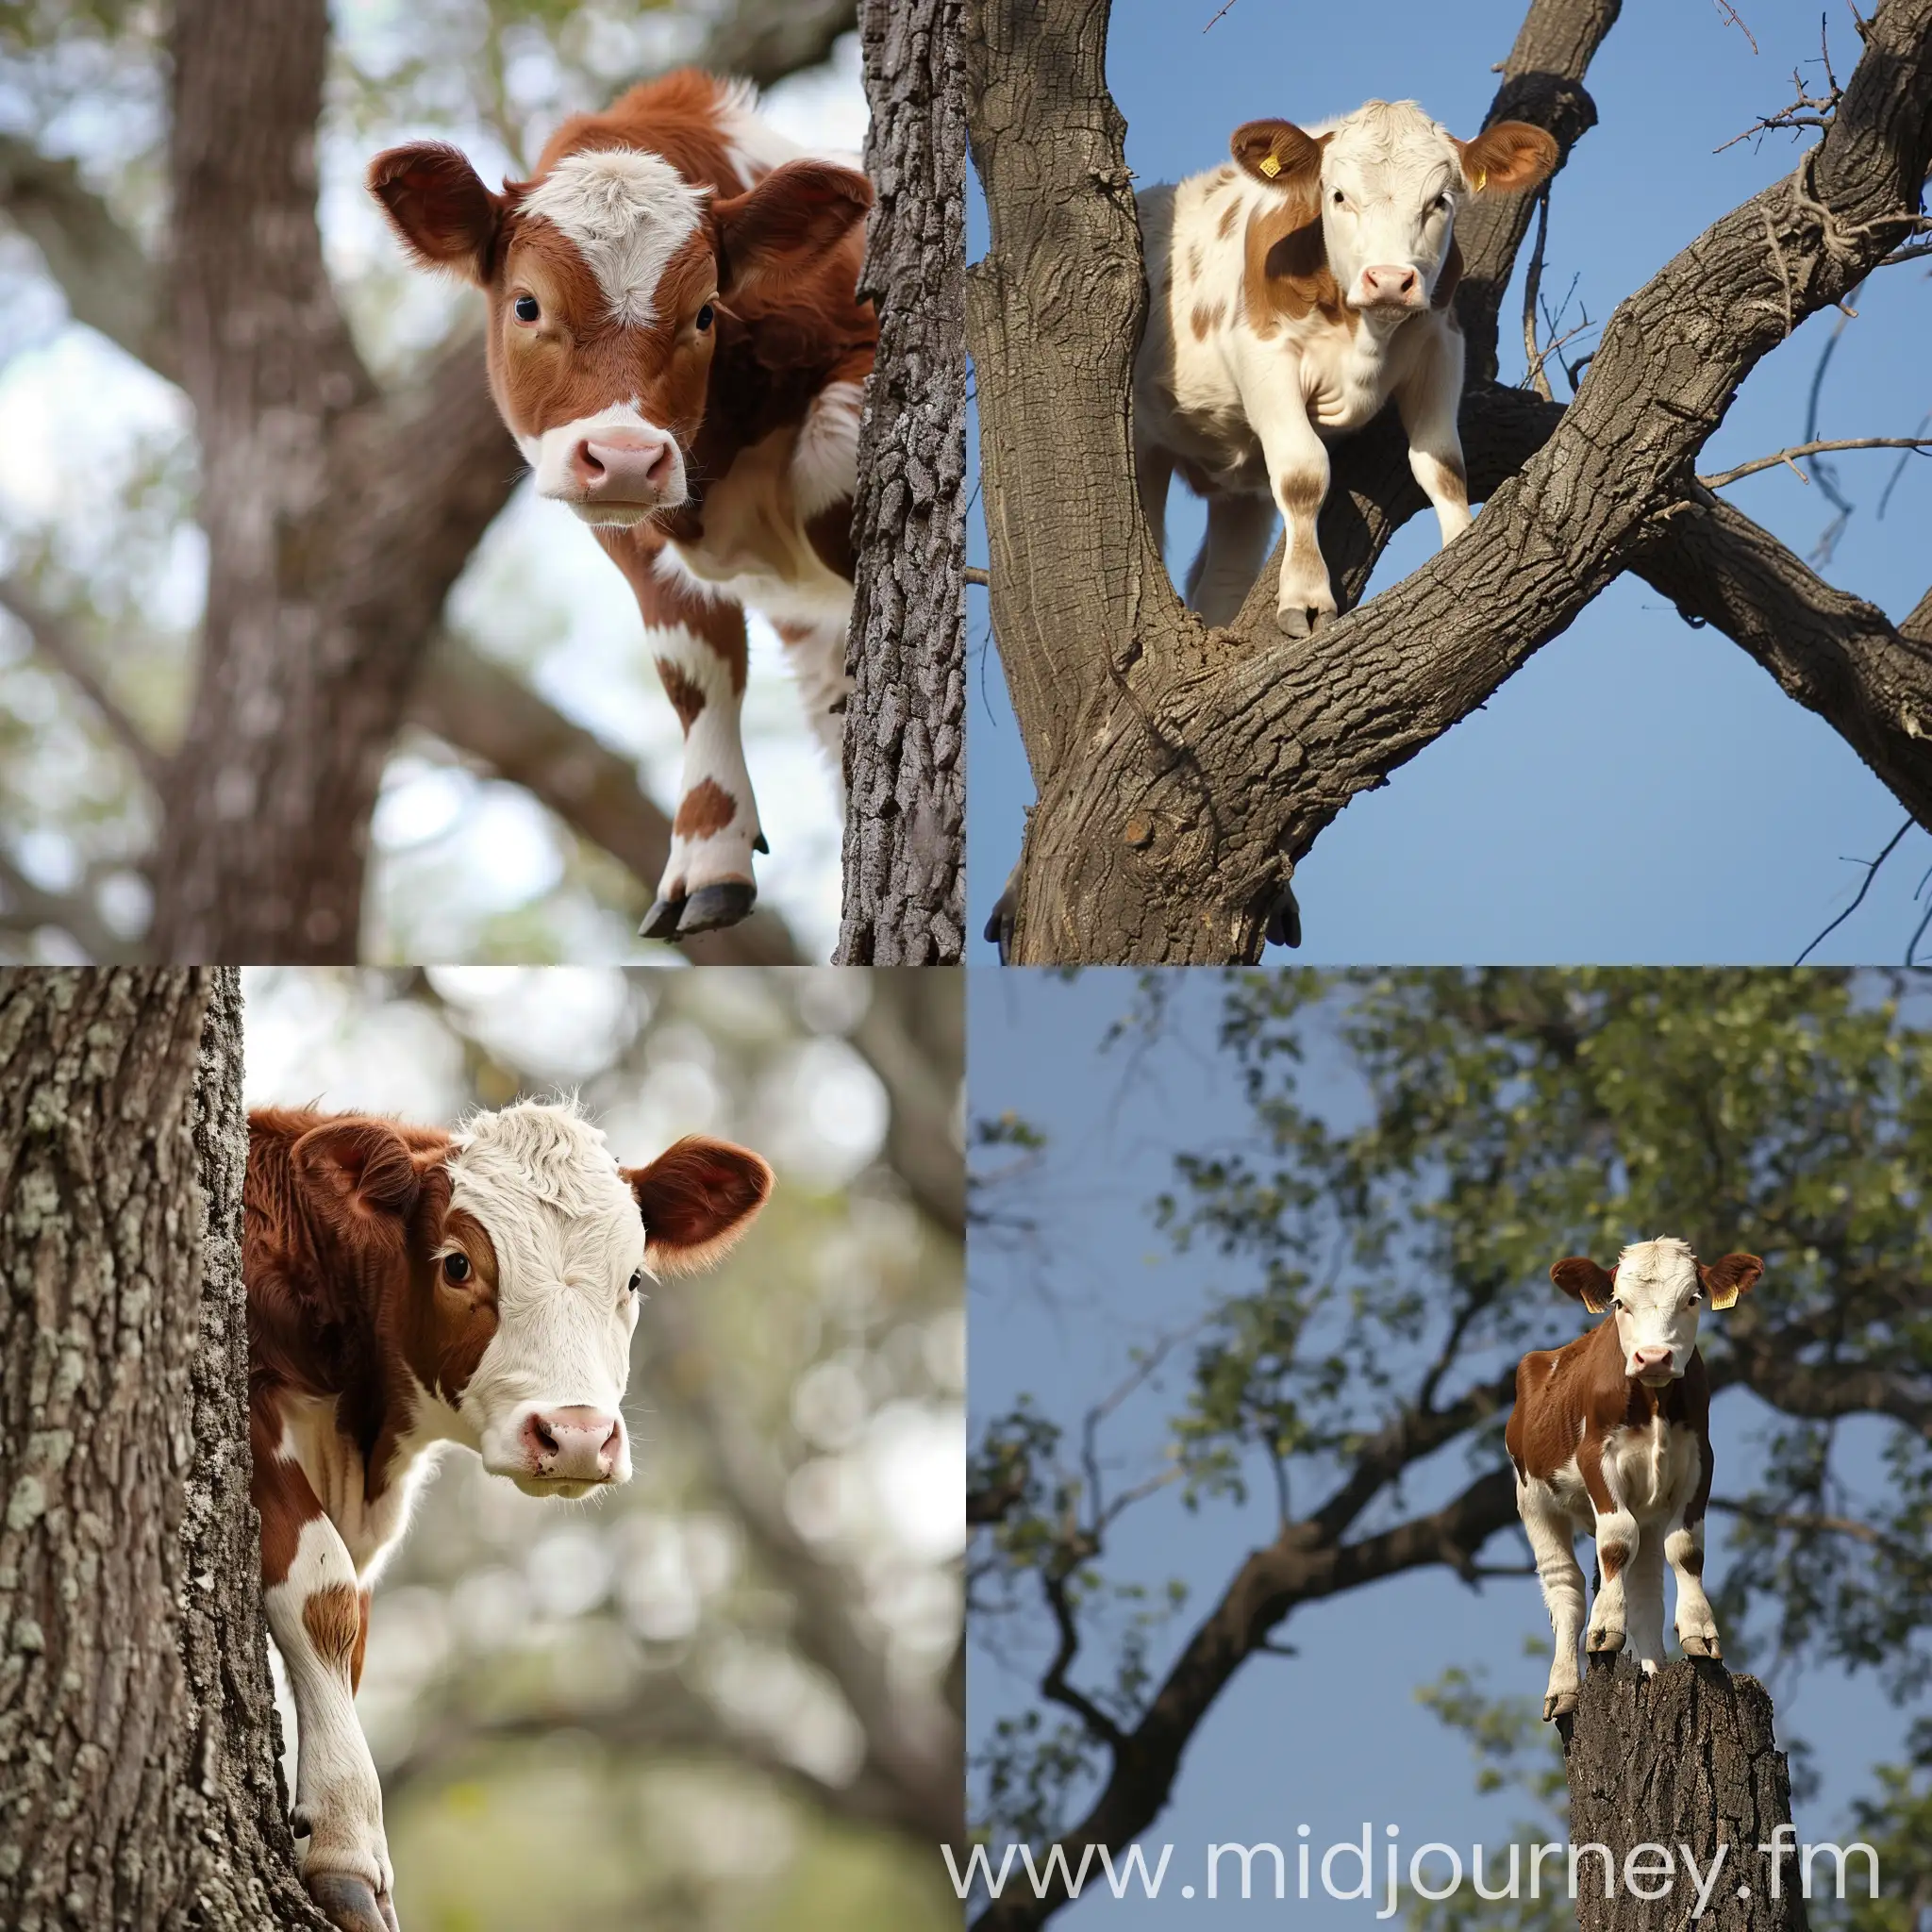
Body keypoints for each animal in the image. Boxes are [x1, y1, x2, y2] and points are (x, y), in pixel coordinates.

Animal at [245, 1105, 773, 1932]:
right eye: (458, 1264)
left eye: (633, 1277)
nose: (578, 1434)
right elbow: (323, 1595)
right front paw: (348, 1843)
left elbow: (351, 1631)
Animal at [363, 73, 876, 942]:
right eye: (527, 305)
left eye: (705, 311)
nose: (628, 457)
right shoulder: (627, 523)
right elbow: (696, 668)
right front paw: (709, 855)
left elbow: (828, 464)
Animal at [1128, 104, 1553, 633]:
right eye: (1338, 195)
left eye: (1439, 201)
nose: (1389, 280)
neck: (1364, 334)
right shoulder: (1263, 353)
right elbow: (1302, 472)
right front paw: (1306, 599)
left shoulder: (1441, 346)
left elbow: (1444, 467)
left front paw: (1464, 553)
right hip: (1145, 439)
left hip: (1239, 491)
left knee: (1223, 578)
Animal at [1507, 1243, 1769, 1731]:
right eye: (1618, 1303)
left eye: (1692, 1299)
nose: (1653, 1357)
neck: (1654, 1402)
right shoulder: (1597, 1458)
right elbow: (1615, 1541)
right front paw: (1606, 1628)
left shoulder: (1700, 1461)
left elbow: (1685, 1550)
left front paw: (1700, 1631)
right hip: (1532, 1499)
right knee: (1566, 1585)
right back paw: (1563, 1687)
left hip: (1648, 1509)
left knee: (1646, 1583)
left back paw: (1652, 1668)